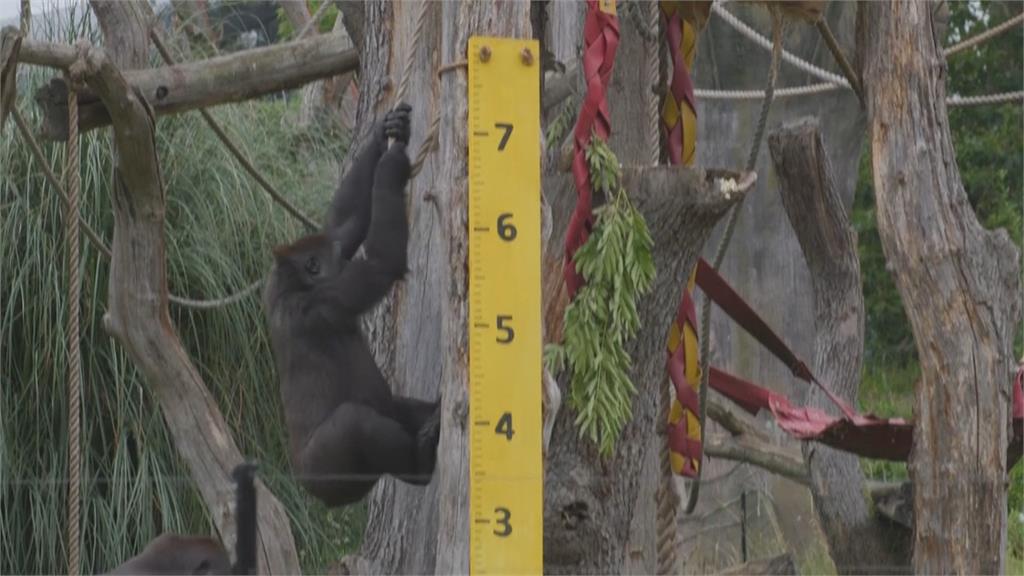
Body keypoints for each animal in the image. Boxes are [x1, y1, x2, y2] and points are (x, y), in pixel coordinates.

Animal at [264, 100, 440, 504]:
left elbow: (344, 225)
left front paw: (385, 129)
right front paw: (392, 166)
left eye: (335, 256)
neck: (292, 284)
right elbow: (381, 263)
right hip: (329, 475)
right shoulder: (323, 300)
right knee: (355, 424)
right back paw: (420, 467)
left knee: (395, 407)